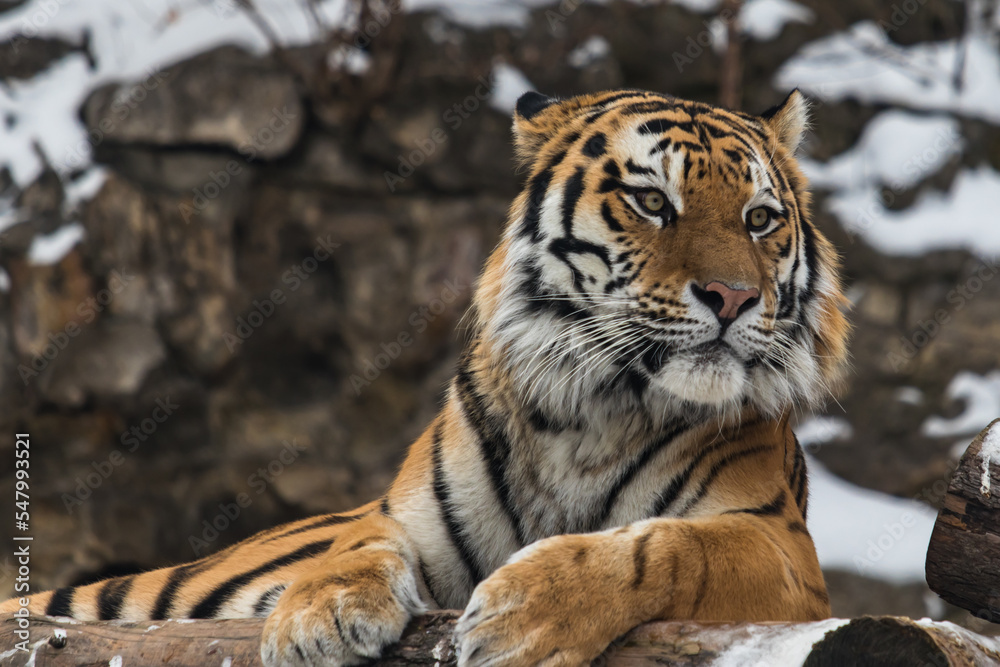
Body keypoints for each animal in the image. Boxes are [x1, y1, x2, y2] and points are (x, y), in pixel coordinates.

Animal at [2, 88, 849, 667]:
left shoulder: (780, 547)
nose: (734, 297)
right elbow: (355, 543)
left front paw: (524, 613)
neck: (596, 408)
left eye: (759, 219)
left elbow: (666, 546)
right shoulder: (402, 516)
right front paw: (317, 617)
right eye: (651, 201)